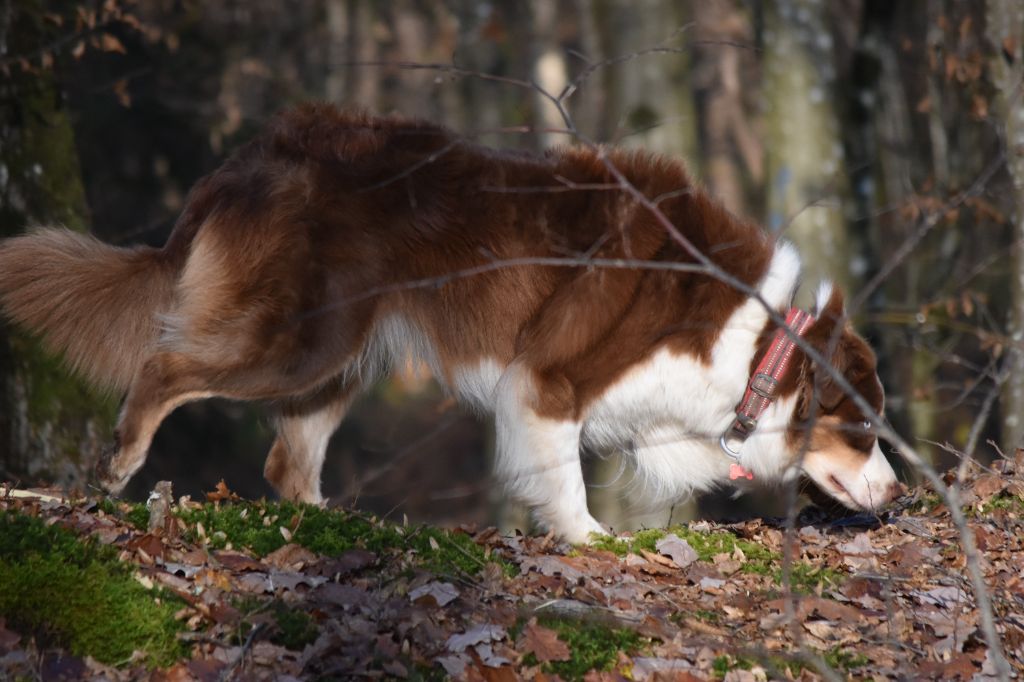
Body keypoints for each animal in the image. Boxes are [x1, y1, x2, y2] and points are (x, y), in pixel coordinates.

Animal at [0, 103, 897, 540]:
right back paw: (120, 464)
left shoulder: (659, 409)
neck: (764, 344)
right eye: (861, 430)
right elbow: (562, 473)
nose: (896, 496)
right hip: (301, 343)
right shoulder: (547, 380)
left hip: (343, 358)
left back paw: (330, 523)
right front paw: (588, 538)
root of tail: (242, 161)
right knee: (165, 368)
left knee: (287, 464)